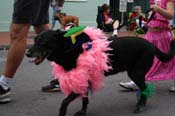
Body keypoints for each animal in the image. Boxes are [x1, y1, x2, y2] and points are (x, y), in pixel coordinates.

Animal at [26, 29, 175, 116]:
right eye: (34, 40)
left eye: (43, 42)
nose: (27, 53)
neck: (70, 49)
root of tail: (151, 45)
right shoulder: (84, 81)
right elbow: (84, 99)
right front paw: (83, 112)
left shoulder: (81, 80)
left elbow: (64, 101)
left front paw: (62, 113)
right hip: (133, 72)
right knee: (143, 87)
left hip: (137, 73)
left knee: (144, 88)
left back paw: (141, 105)